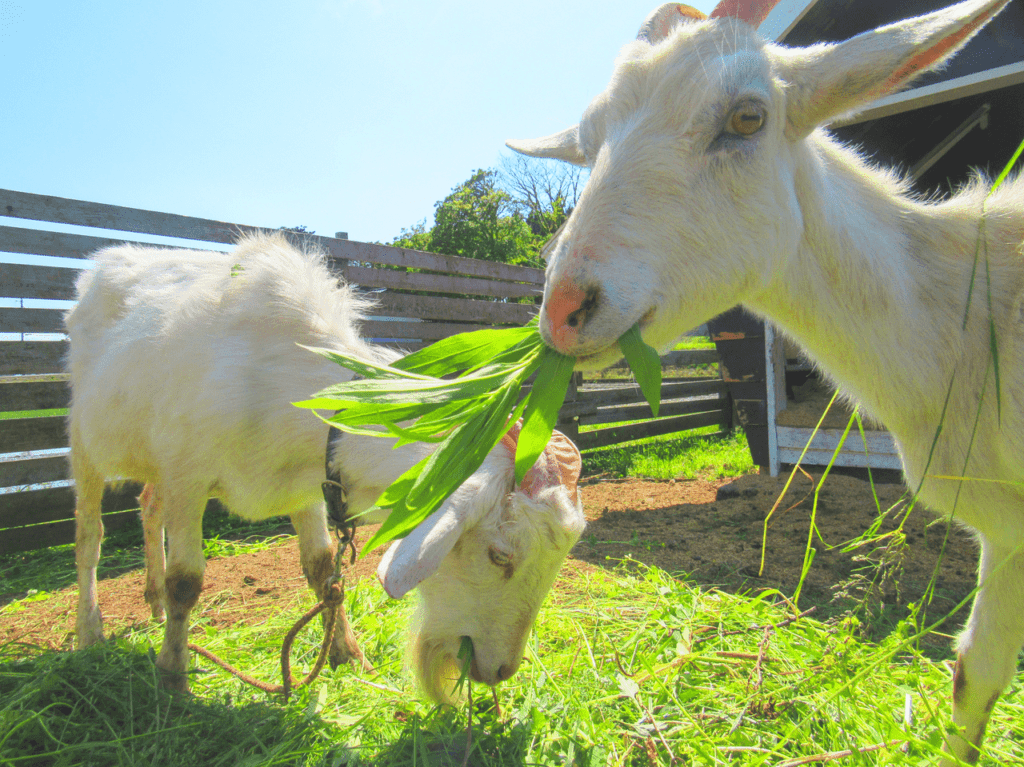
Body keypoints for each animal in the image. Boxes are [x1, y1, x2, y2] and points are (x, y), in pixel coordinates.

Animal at [66, 233, 585, 700]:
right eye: (500, 556)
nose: (500, 670)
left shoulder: (307, 483)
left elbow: (321, 571)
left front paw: (349, 655)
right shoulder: (187, 477)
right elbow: (187, 582)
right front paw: (173, 677)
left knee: (148, 506)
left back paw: (151, 600)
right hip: (83, 440)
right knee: (90, 537)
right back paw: (91, 630)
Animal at [509, 2, 1024, 761]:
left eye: (748, 117)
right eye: (588, 141)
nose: (566, 309)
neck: (966, 314)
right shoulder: (1007, 532)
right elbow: (975, 676)